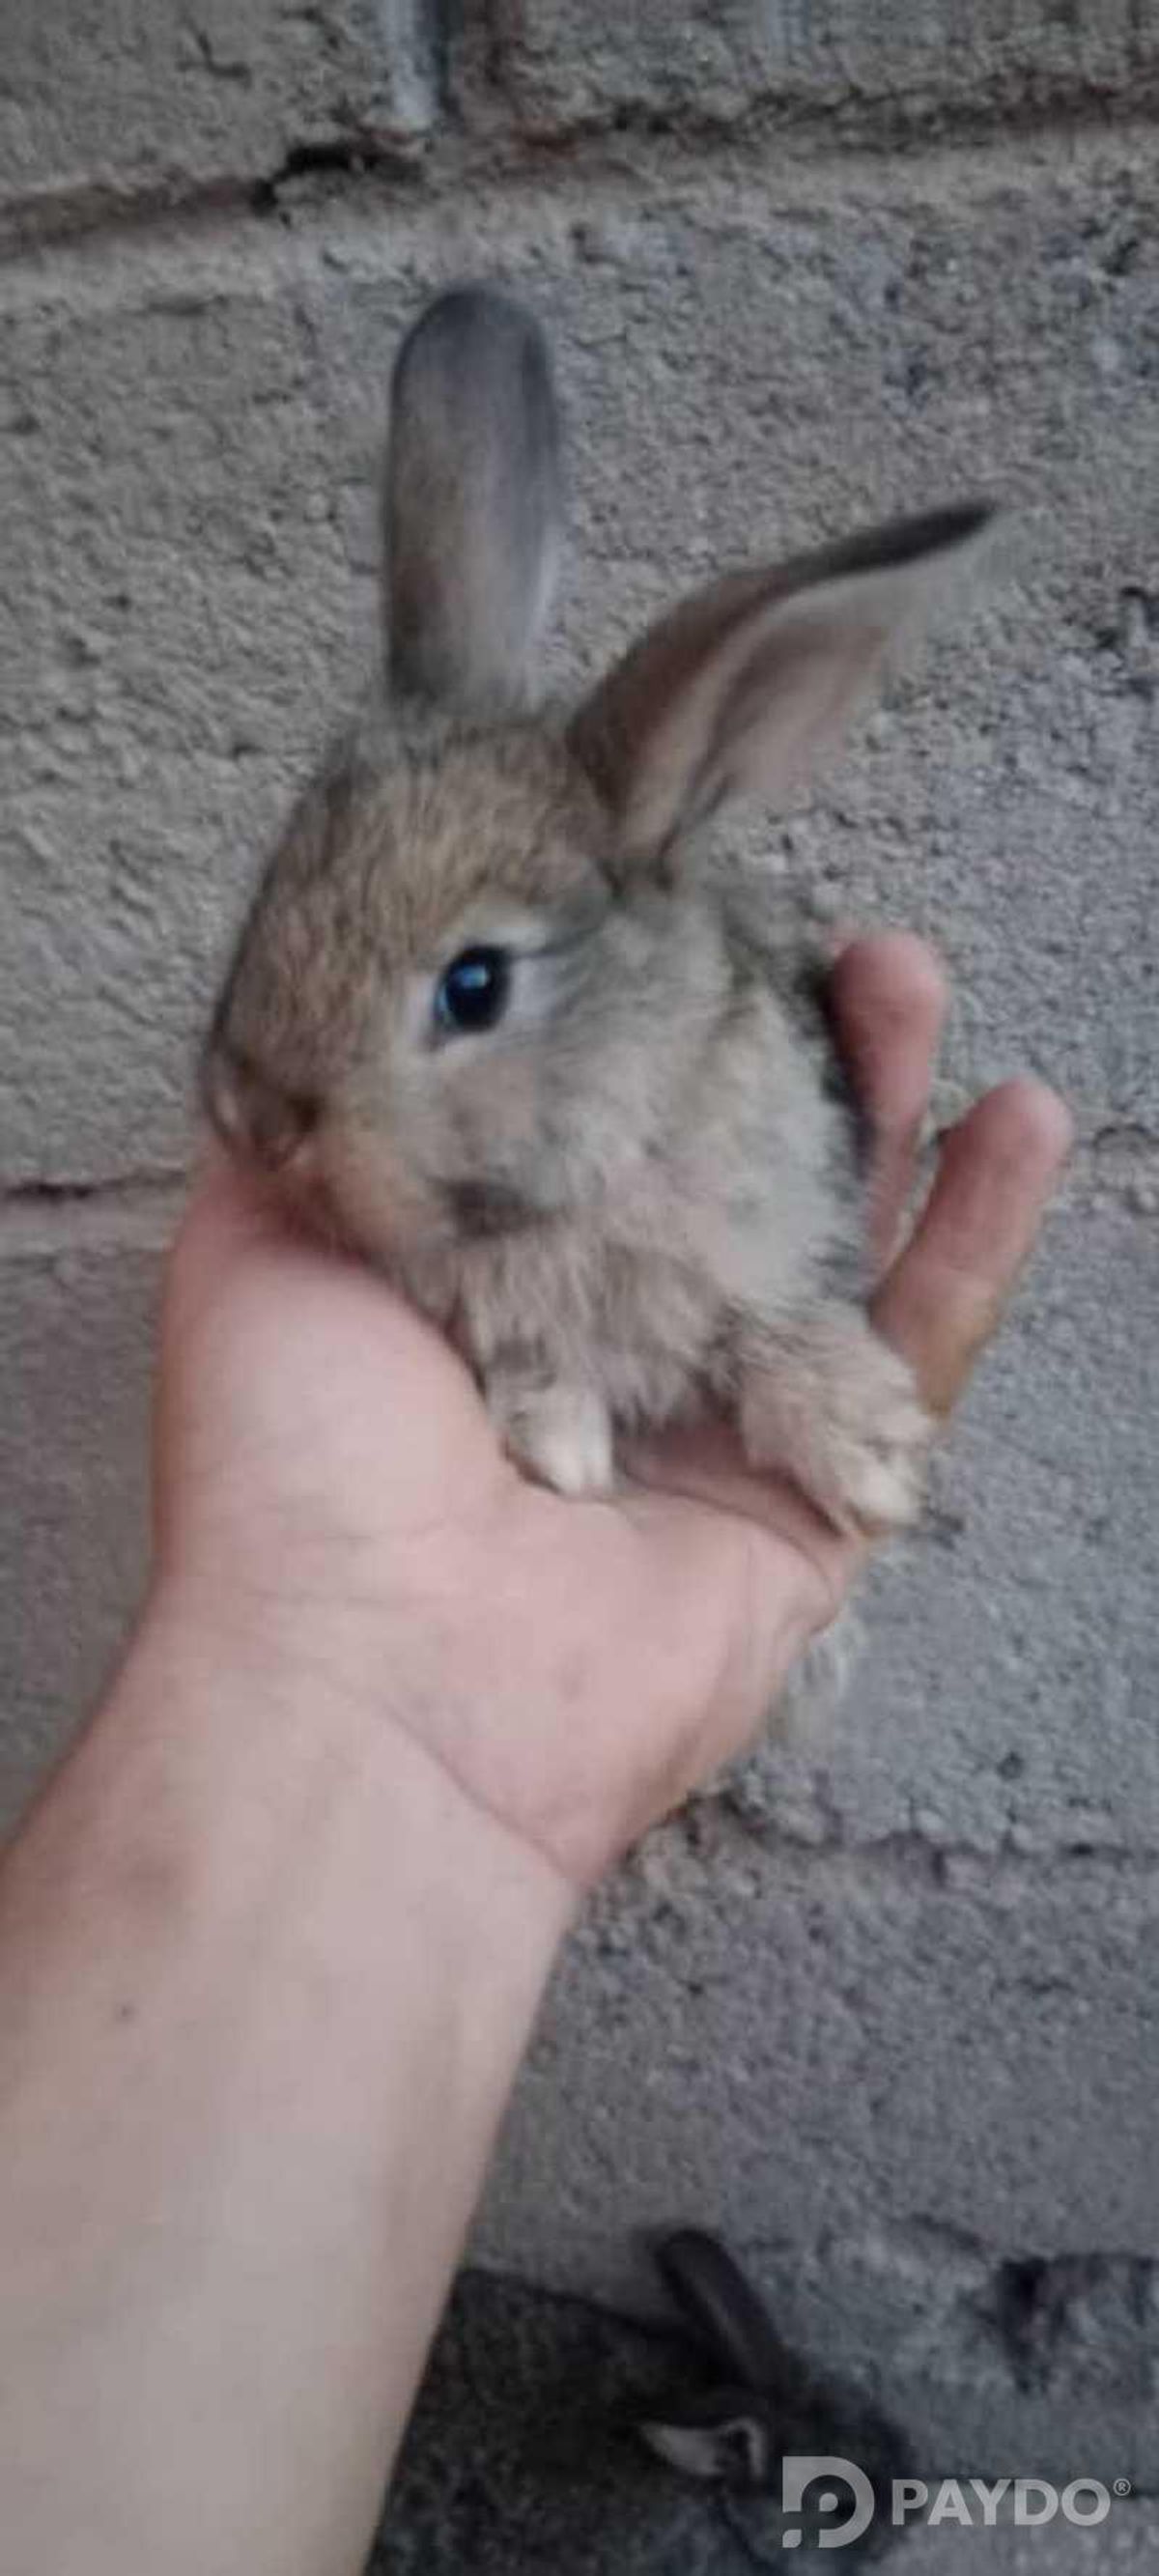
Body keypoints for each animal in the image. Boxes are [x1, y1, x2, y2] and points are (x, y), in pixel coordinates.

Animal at [203, 282, 992, 1534]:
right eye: (280, 873)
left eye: (476, 986)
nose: (254, 1119)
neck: (589, 1166)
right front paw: (561, 1445)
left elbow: (778, 1331)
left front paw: (867, 1460)